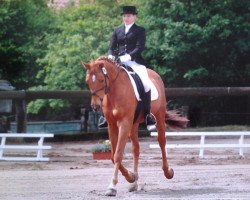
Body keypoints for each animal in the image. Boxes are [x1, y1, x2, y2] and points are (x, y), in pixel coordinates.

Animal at [84, 55, 188, 195]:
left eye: (101, 79)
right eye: (88, 81)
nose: (95, 106)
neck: (115, 91)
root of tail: (154, 74)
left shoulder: (124, 123)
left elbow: (118, 154)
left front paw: (112, 186)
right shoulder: (112, 125)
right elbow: (113, 155)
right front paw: (130, 177)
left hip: (159, 116)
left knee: (161, 142)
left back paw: (168, 172)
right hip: (133, 125)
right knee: (136, 149)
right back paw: (134, 182)